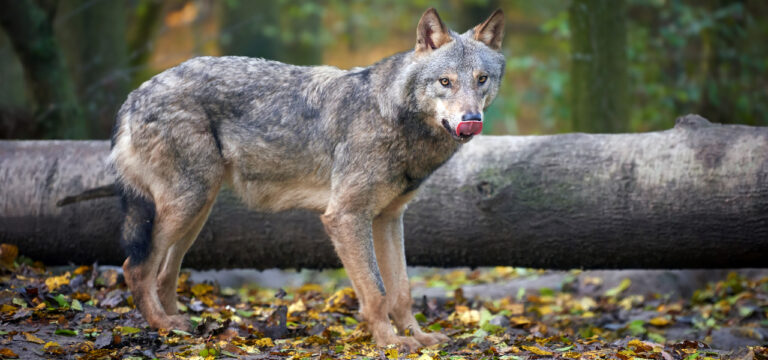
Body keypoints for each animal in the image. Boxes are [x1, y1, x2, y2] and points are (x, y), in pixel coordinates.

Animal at [108, 7, 504, 352]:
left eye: (481, 80)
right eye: (445, 82)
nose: (471, 120)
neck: (394, 116)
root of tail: (134, 95)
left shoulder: (389, 219)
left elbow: (401, 290)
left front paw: (418, 338)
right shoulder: (345, 217)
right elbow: (376, 293)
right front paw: (391, 343)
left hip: (197, 211)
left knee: (164, 275)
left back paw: (185, 327)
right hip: (187, 205)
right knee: (136, 268)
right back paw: (164, 326)